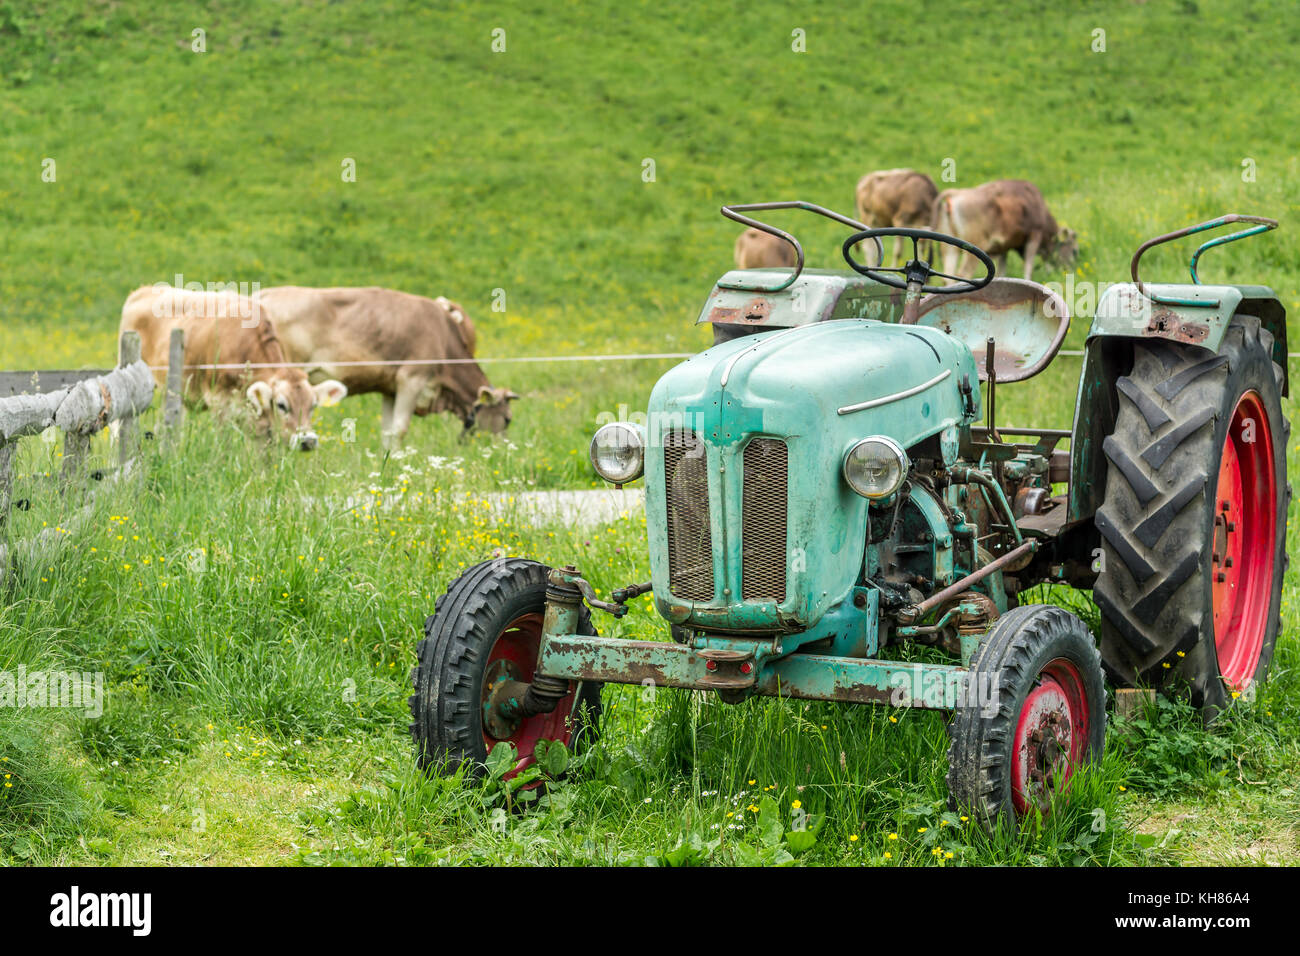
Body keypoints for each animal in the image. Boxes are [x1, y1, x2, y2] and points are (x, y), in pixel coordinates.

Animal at [119, 285, 347, 451]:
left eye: (313, 405)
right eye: (282, 405)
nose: (308, 441)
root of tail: (143, 290)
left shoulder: (261, 418)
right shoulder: (219, 402)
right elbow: (225, 445)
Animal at [253, 286, 518, 449]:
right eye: (507, 420)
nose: (503, 451)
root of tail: (263, 294)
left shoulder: (390, 389)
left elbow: (388, 432)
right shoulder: (412, 380)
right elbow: (400, 430)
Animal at [932, 180, 1078, 282]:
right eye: (1075, 251)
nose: (1071, 270)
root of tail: (955, 193)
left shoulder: (1003, 249)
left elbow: (1001, 272)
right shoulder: (1034, 235)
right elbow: (1028, 267)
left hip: (950, 249)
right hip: (973, 248)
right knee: (963, 274)